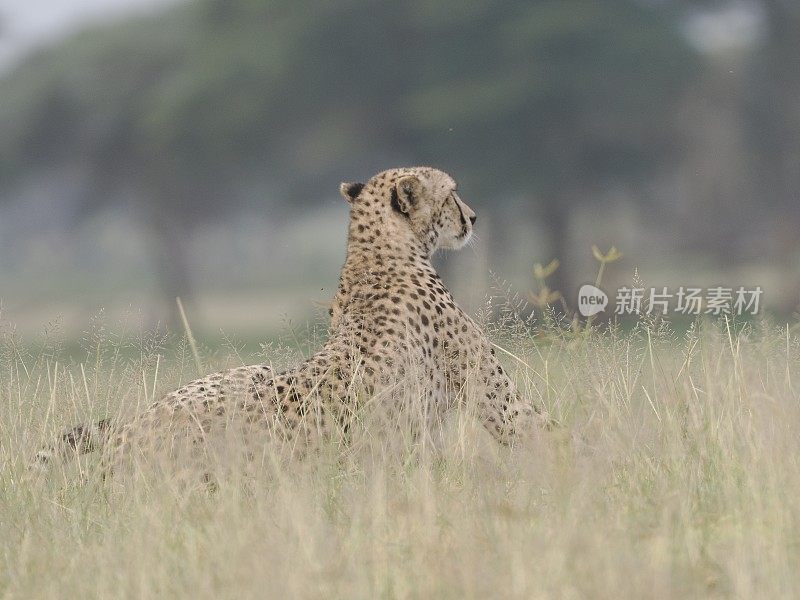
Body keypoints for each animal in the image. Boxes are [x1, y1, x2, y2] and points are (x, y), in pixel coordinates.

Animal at [36, 168, 544, 474]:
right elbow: (537, 427)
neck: (375, 252)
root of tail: (128, 433)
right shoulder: (498, 402)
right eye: (451, 194)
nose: (474, 218)